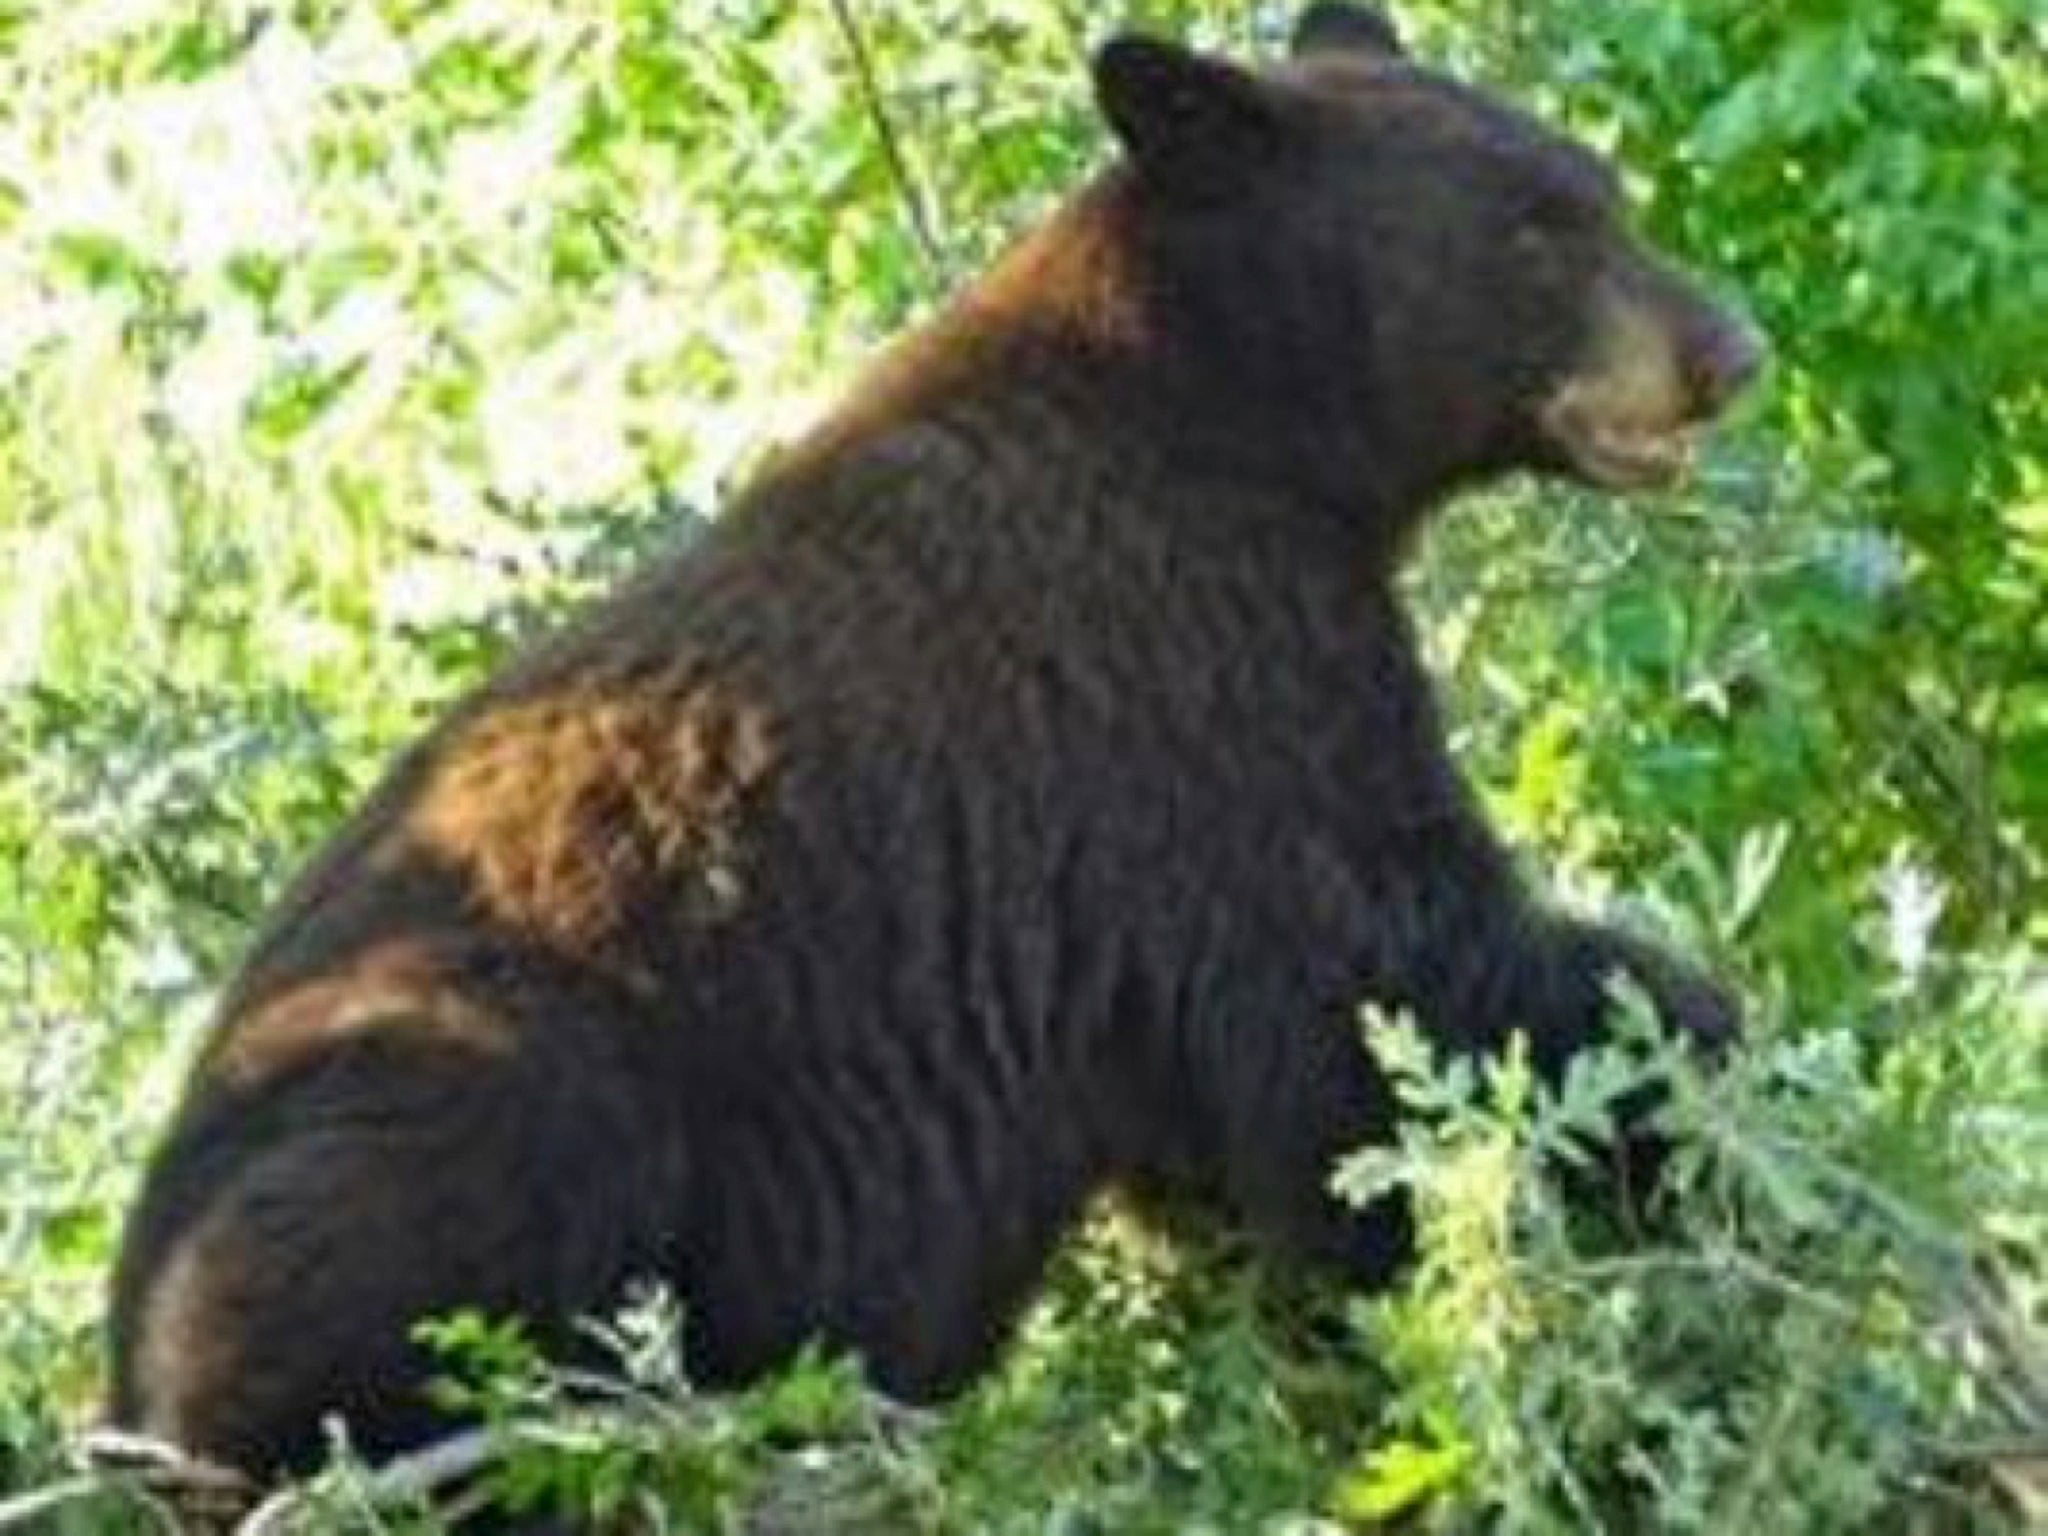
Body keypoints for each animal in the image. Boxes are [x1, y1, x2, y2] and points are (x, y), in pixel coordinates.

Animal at [108, 0, 1761, 1490]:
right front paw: (1691, 1109)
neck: (1230, 410)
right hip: (462, 1068)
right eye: (1539, 233)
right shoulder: (1195, 683)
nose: (1729, 350)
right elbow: (1394, 983)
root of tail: (117, 1390)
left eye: (1604, 192)